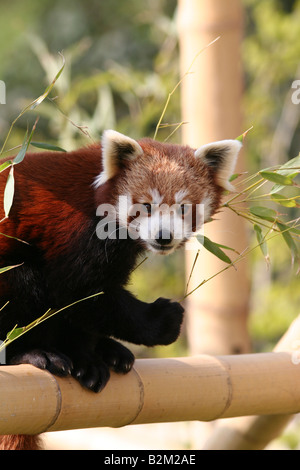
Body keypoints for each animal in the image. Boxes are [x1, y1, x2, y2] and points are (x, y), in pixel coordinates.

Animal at [0, 130, 241, 450]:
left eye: (183, 207)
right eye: (147, 205)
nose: (163, 237)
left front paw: (89, 355)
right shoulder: (77, 231)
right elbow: (80, 293)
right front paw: (163, 321)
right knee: (21, 283)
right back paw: (32, 353)